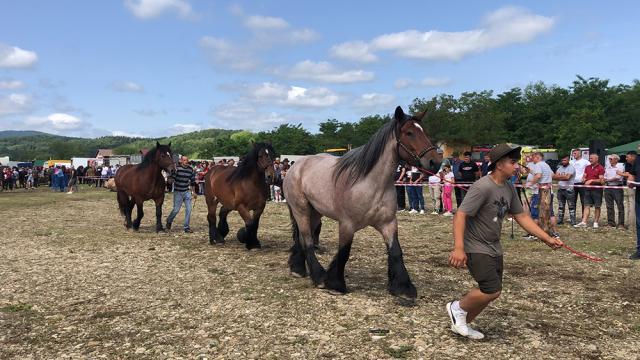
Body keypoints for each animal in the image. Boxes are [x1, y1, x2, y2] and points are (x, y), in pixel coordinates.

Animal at [284, 107, 440, 300]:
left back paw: (298, 269)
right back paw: (318, 276)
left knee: (301, 238)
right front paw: (335, 283)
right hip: (301, 210)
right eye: (409, 133)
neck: (370, 183)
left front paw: (403, 287)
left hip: (314, 212)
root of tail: (295, 166)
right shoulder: (347, 225)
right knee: (307, 240)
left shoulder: (388, 223)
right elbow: (344, 252)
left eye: (424, 132)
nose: (435, 162)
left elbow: (396, 251)